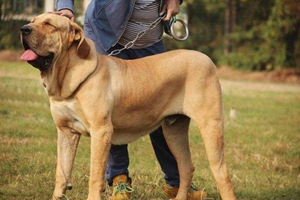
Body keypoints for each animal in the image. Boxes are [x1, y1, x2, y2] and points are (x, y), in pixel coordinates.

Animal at [20, 13, 237, 199]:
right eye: (33, 20)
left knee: (221, 172)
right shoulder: (66, 132)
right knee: (185, 167)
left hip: (211, 126)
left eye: (49, 24)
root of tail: (207, 59)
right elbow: (62, 173)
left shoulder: (101, 132)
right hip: (174, 131)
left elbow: (95, 174)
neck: (66, 77)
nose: (24, 29)